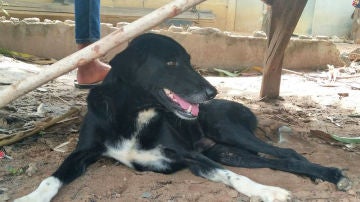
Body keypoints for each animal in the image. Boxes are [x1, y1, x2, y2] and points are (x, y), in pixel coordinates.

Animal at [15, 33, 350, 202]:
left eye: (189, 60)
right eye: (171, 62)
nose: (212, 91)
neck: (136, 112)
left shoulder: (189, 156)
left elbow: (234, 178)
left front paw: (269, 191)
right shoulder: (81, 153)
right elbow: (49, 179)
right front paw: (29, 199)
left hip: (227, 131)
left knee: (288, 152)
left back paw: (332, 175)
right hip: (228, 151)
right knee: (277, 161)